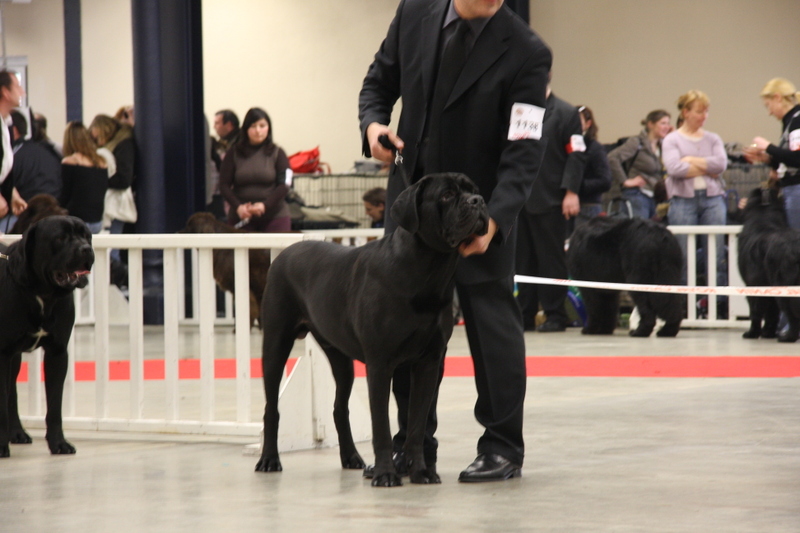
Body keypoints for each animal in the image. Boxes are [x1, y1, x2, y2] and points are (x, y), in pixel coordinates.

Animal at [0, 216, 94, 458]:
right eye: (60, 238)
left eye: (86, 236)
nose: (86, 249)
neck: (42, 292)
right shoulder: (2, 354)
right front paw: (1, 447)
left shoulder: (57, 353)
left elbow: (54, 405)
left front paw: (58, 443)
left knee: (12, 393)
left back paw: (17, 432)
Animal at [256, 172, 488, 484]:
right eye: (447, 195)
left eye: (474, 190)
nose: (478, 201)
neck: (427, 270)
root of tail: (286, 251)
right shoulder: (380, 364)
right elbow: (382, 426)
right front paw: (386, 474)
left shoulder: (428, 363)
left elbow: (416, 425)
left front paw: (421, 472)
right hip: (275, 344)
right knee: (272, 408)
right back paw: (269, 459)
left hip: (340, 359)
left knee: (339, 408)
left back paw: (351, 457)